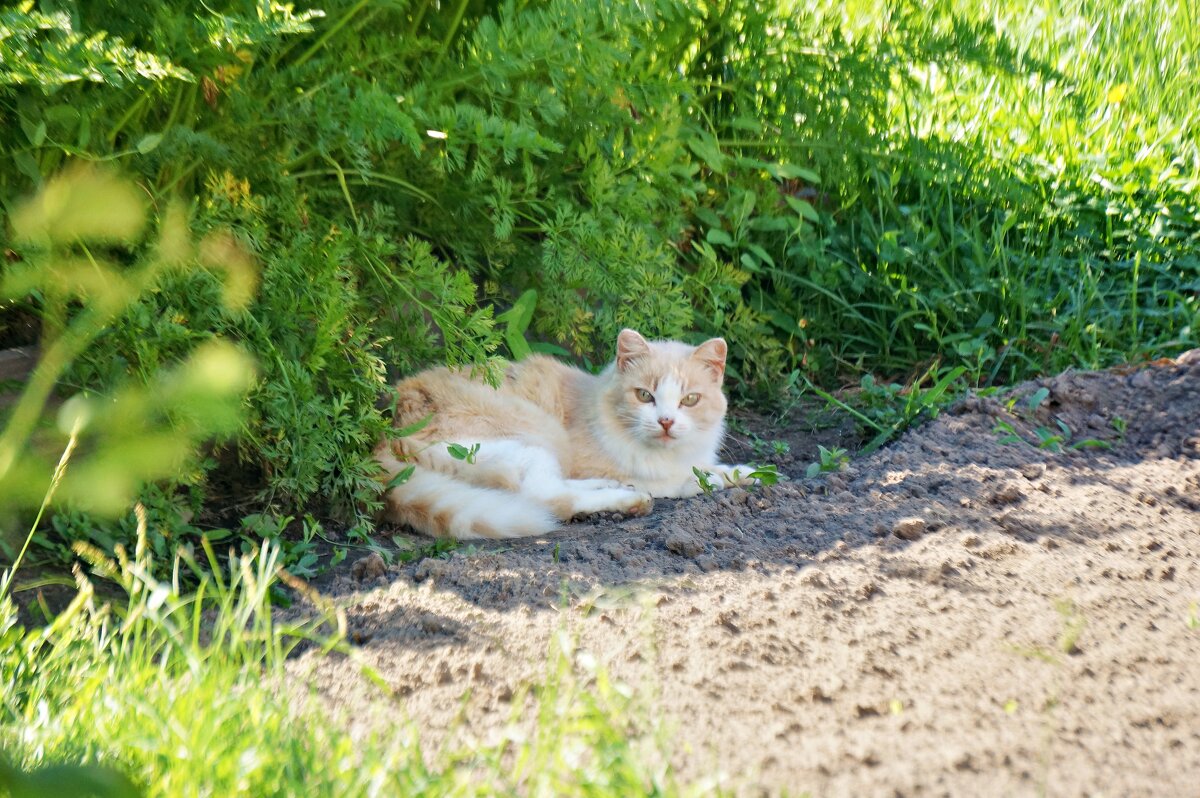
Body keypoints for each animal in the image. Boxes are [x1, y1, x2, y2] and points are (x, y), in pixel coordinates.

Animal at [372, 326, 758, 537]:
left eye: (690, 399)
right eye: (644, 396)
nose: (665, 421)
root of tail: (381, 438)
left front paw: (744, 474)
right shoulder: (598, 461)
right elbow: (678, 479)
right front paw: (716, 478)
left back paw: (615, 490)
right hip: (530, 436)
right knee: (546, 497)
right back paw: (628, 501)